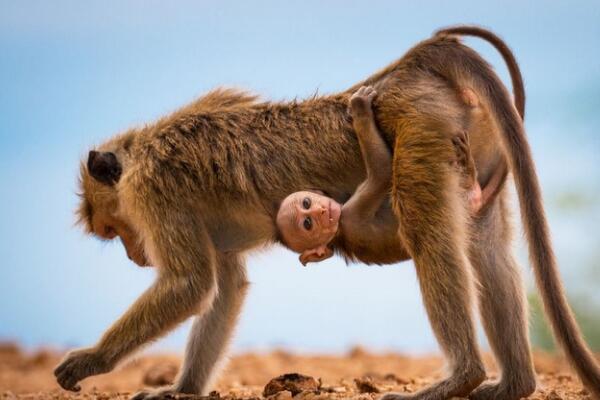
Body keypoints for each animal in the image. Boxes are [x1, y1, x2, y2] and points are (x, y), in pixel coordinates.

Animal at [276, 85, 482, 264]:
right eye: (308, 223)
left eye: (306, 202)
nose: (322, 211)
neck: (337, 235)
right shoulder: (351, 216)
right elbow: (382, 172)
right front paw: (360, 109)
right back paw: (467, 171)